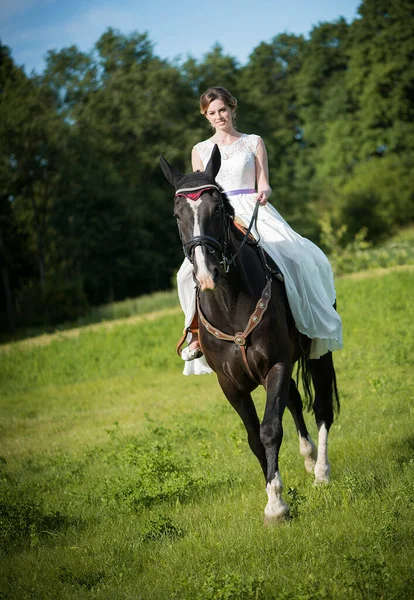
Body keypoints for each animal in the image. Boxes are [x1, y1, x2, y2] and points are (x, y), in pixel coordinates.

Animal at [160, 145, 338, 520]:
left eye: (217, 209)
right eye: (177, 214)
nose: (207, 274)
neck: (230, 304)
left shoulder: (276, 364)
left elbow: (270, 430)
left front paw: (277, 505)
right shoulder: (230, 383)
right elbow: (255, 437)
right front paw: (273, 490)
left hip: (320, 351)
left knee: (322, 408)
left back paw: (321, 472)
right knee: (295, 400)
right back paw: (308, 457)